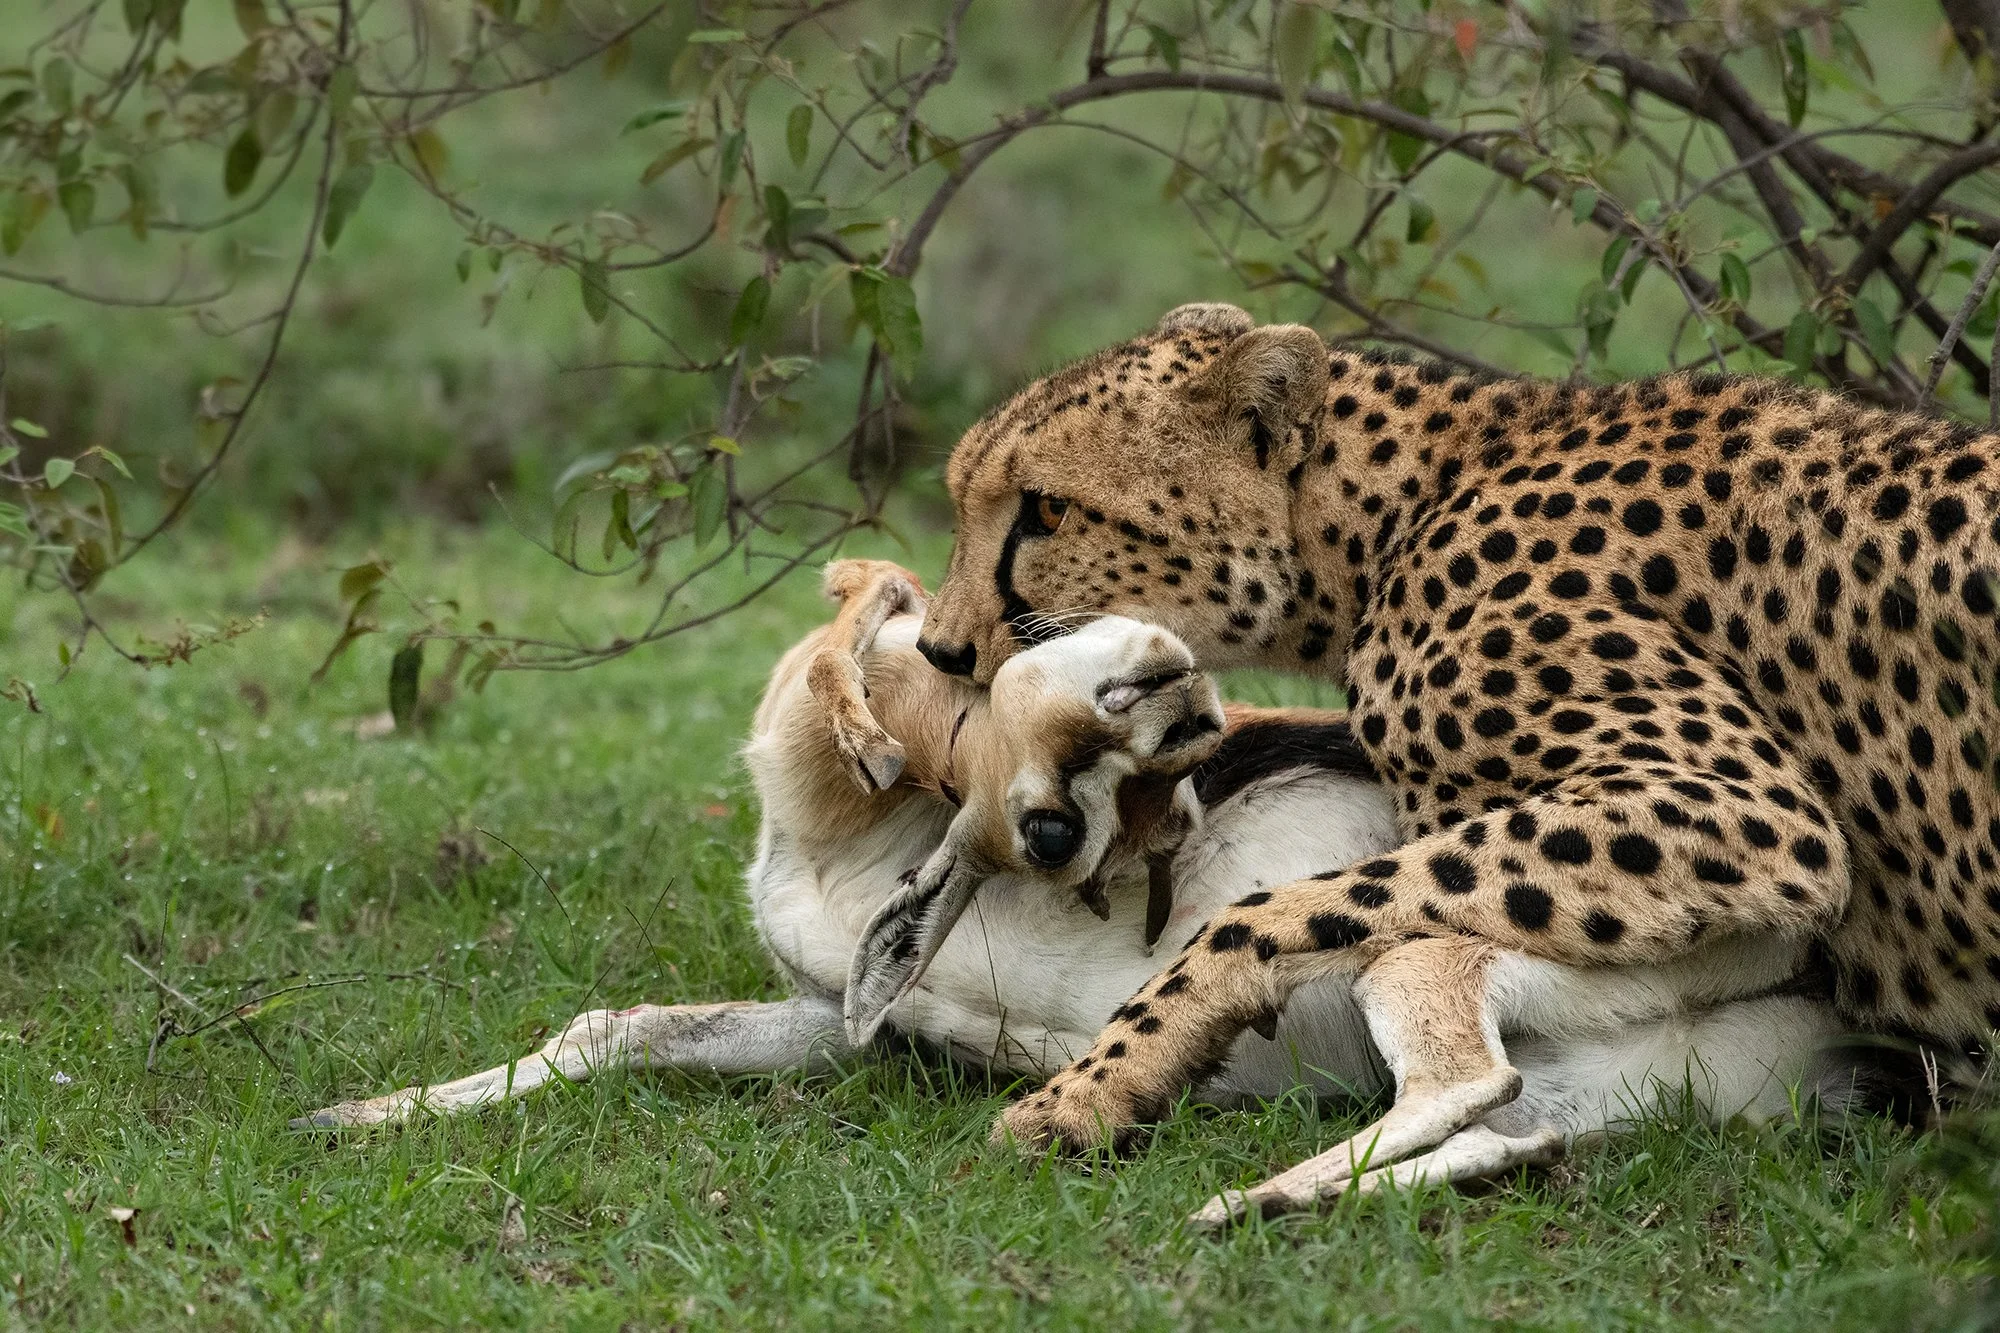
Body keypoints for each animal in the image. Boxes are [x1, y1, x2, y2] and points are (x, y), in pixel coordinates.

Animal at [916, 300, 2000, 1180]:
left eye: (1047, 509)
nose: (940, 648)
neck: (1387, 519)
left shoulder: (1751, 815)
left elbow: (1264, 911)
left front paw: (1098, 1084)